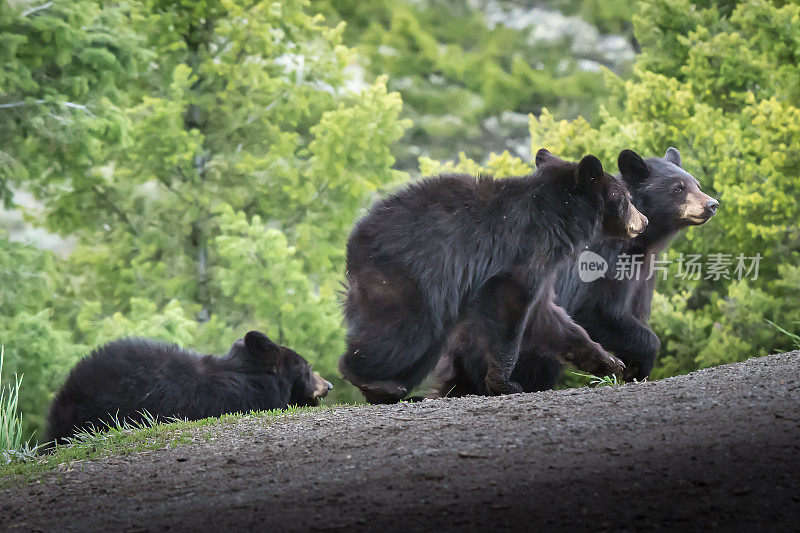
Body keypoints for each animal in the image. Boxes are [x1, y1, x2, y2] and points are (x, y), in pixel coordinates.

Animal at [340, 148, 648, 402]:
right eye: (627, 198)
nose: (643, 221)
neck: (559, 217)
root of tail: (353, 245)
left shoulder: (545, 267)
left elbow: (549, 318)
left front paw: (608, 361)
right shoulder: (522, 257)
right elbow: (509, 314)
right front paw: (504, 383)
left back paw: (393, 390)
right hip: (407, 282)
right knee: (401, 333)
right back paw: (375, 381)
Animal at [434, 148, 720, 396]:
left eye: (695, 183)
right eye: (678, 188)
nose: (712, 204)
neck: (640, 245)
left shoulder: (642, 276)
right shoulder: (601, 264)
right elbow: (596, 311)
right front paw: (638, 366)